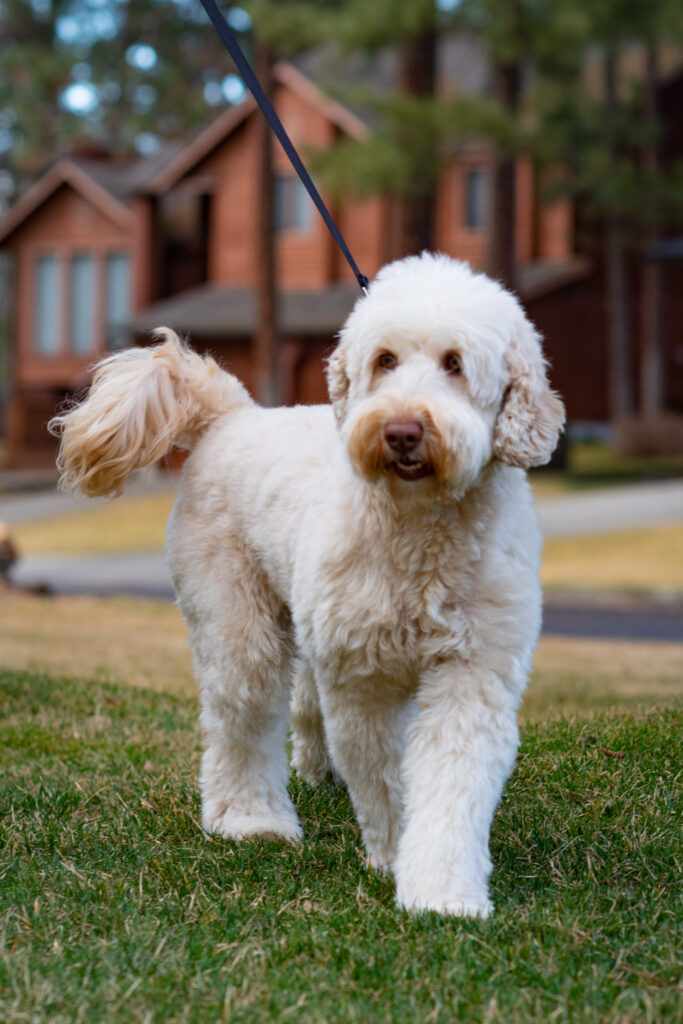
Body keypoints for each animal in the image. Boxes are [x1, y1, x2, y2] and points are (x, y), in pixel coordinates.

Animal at [52, 251, 565, 917]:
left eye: (454, 362)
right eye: (385, 360)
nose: (402, 430)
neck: (419, 525)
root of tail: (234, 415)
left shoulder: (473, 672)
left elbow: (454, 783)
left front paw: (443, 892)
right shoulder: (363, 679)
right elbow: (386, 777)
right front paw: (393, 856)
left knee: (298, 703)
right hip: (238, 620)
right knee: (240, 722)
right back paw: (251, 820)